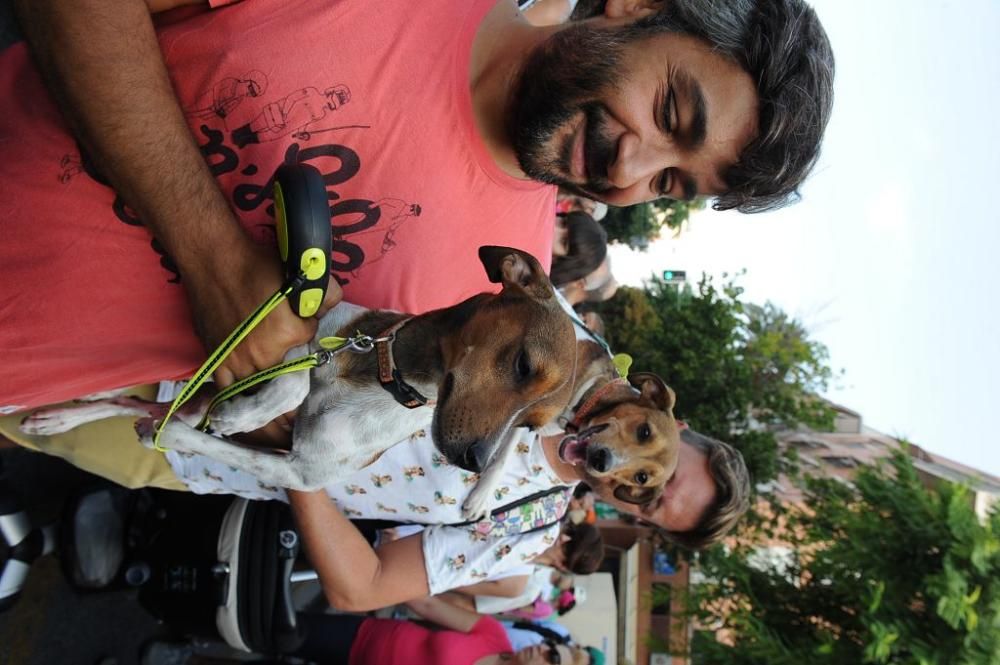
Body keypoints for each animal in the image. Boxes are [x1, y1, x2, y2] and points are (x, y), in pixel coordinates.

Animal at [19, 246, 576, 496]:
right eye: (523, 364)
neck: (384, 377)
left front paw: (174, 435)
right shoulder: (316, 328)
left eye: (532, 426)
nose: (475, 462)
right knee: (143, 398)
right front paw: (248, 413)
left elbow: (200, 437)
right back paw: (55, 415)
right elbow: (289, 379)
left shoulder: (297, 472)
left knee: (155, 406)